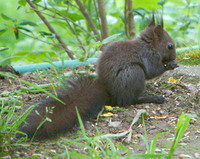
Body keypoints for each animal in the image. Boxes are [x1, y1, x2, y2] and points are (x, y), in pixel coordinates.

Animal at [18, 16, 178, 139]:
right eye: (170, 46)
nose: (174, 57)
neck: (150, 46)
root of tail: (108, 90)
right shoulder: (149, 57)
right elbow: (152, 71)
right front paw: (170, 65)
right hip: (134, 74)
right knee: (129, 101)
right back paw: (152, 98)